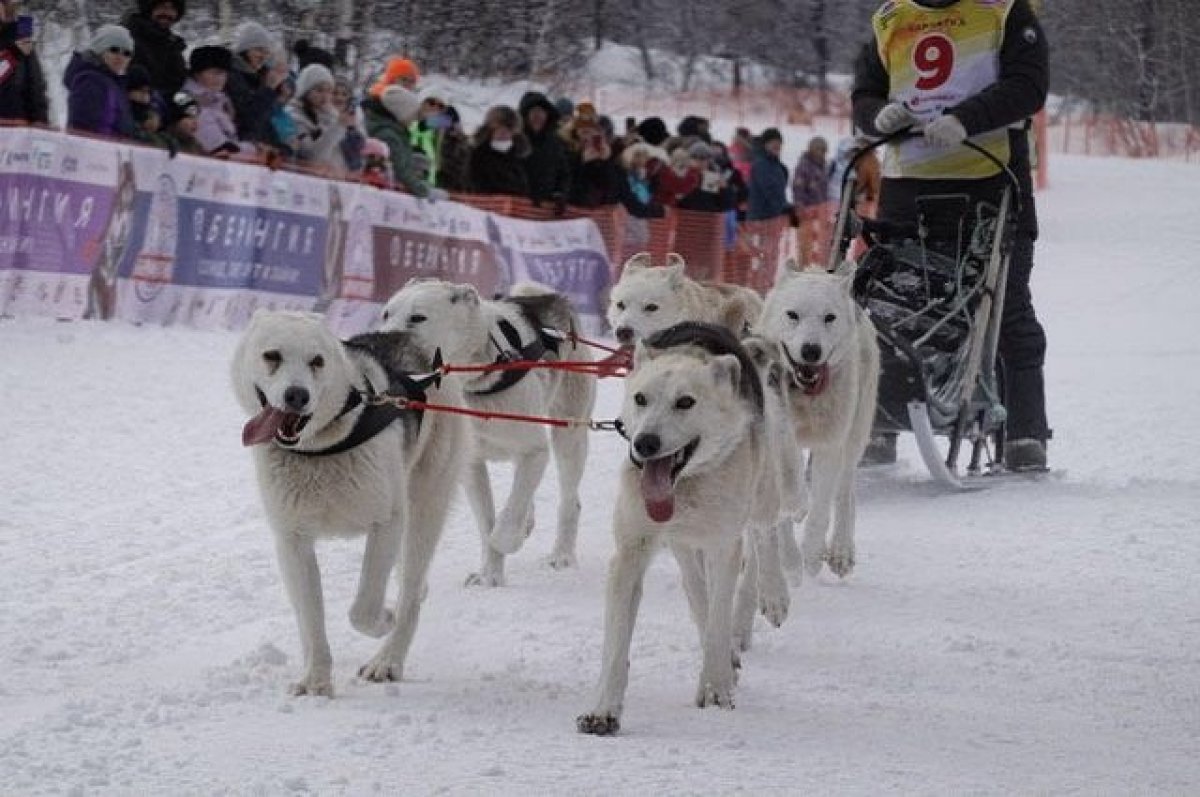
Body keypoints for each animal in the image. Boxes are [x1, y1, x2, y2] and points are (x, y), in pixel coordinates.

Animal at [379, 278, 595, 585]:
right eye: (386, 314)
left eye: (417, 317)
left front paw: (507, 541)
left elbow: (503, 525)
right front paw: (490, 575)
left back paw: (561, 555)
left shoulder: (535, 451)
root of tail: (551, 298)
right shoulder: (472, 466)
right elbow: (488, 521)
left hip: (569, 437)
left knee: (569, 502)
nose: (381, 341)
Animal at [578, 324, 782, 734]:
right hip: (683, 546)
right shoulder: (631, 553)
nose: (645, 443)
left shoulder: (723, 547)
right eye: (640, 398)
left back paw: (772, 593)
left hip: (762, 497)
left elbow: (719, 622)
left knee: (765, 536)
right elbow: (616, 645)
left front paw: (716, 689)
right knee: (696, 591)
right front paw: (604, 709)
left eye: (685, 402)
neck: (685, 483)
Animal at [758, 262, 883, 578]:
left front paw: (812, 555)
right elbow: (785, 506)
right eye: (792, 315)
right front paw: (790, 558)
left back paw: (840, 550)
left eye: (829, 317)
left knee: (844, 491)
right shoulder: (779, 442)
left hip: (854, 437)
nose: (811, 350)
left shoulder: (829, 446)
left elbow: (820, 508)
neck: (805, 397)